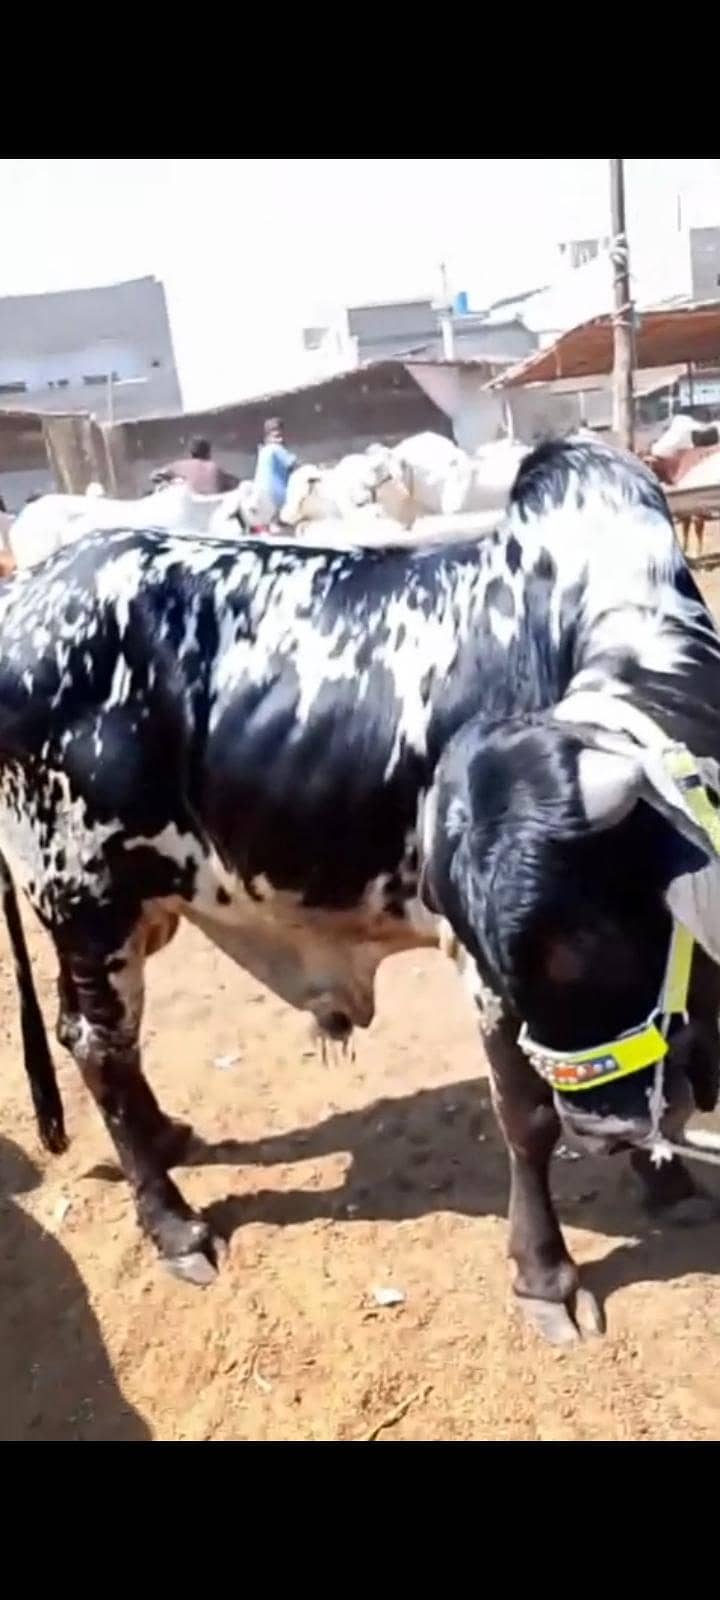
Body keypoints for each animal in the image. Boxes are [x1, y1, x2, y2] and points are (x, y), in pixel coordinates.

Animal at [2, 435, 720, 1343]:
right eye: (518, 943)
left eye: (589, 935)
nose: (597, 1124)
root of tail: (25, 596)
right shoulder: (483, 976)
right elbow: (525, 1113)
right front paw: (545, 1276)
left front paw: (668, 1181)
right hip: (85, 897)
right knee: (100, 1046)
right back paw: (175, 1226)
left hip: (128, 911)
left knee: (95, 1043)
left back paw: (165, 1138)